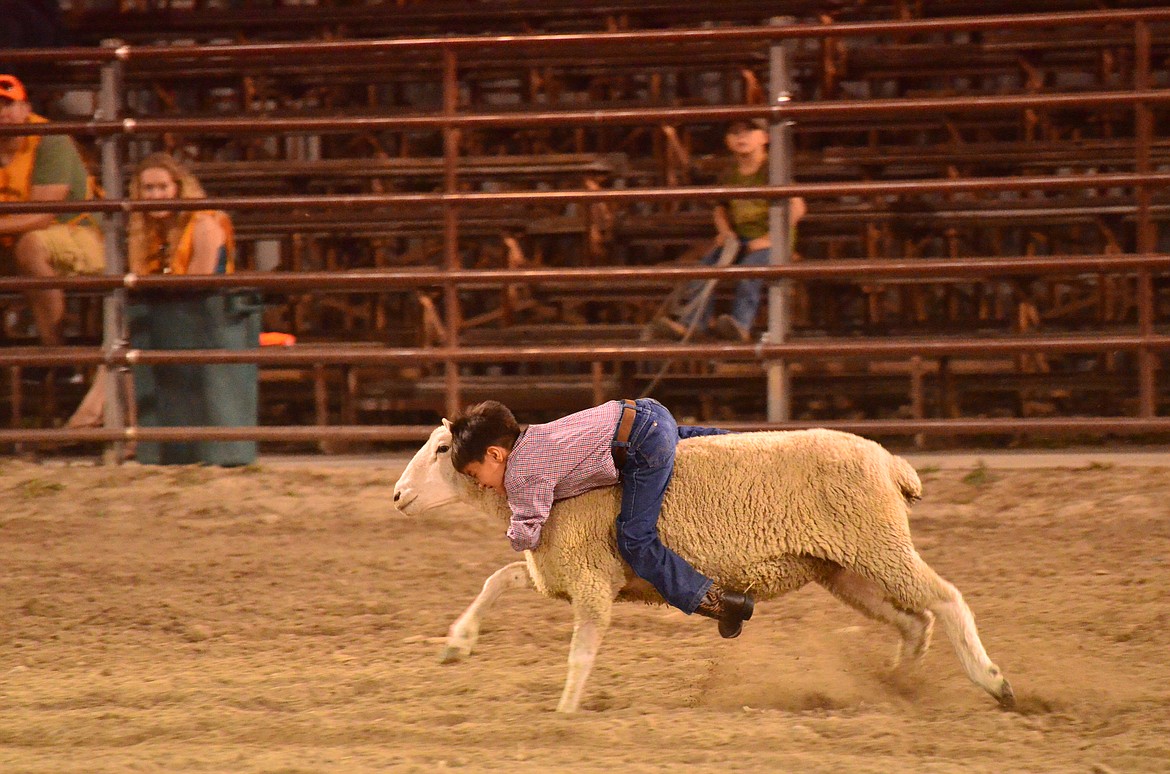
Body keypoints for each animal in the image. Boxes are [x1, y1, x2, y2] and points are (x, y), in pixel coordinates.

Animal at [393, 425, 1015, 715]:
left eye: (443, 447)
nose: (397, 495)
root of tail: (890, 462)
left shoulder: (591, 580)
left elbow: (580, 653)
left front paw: (564, 716)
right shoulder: (570, 570)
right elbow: (497, 579)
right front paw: (457, 644)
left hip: (877, 544)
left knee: (946, 599)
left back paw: (995, 683)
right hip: (849, 565)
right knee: (914, 621)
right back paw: (895, 687)